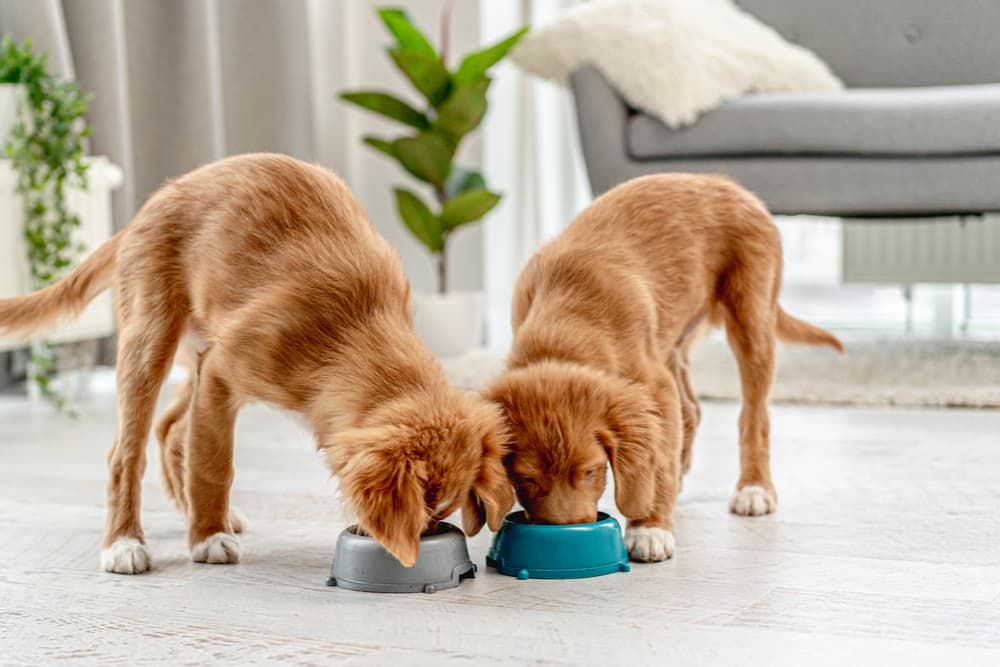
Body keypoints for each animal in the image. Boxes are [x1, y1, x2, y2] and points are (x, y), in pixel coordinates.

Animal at [0, 153, 512, 576]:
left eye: (440, 514)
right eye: (423, 509)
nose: (421, 544)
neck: (357, 326)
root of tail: (145, 210)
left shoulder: (213, 369)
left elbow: (197, 448)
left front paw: (205, 522)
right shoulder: (223, 374)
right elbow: (214, 463)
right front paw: (208, 538)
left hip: (195, 350)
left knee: (170, 429)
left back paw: (185, 508)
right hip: (150, 340)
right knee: (127, 452)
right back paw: (125, 543)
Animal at [482, 174, 836, 564]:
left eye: (592, 470)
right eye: (526, 478)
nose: (567, 535)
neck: (564, 324)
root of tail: (727, 183)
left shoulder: (653, 387)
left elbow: (659, 459)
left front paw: (650, 528)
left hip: (751, 316)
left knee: (754, 416)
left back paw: (754, 488)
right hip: (672, 340)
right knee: (692, 410)